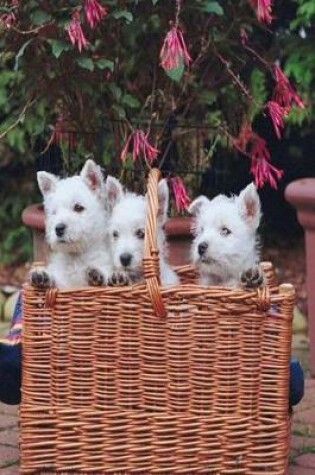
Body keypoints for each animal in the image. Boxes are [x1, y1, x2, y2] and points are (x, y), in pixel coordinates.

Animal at [29, 160, 113, 290]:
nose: (58, 228)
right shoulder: (64, 284)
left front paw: (98, 275)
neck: (76, 257)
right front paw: (43, 276)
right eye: (54, 212)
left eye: (78, 207)